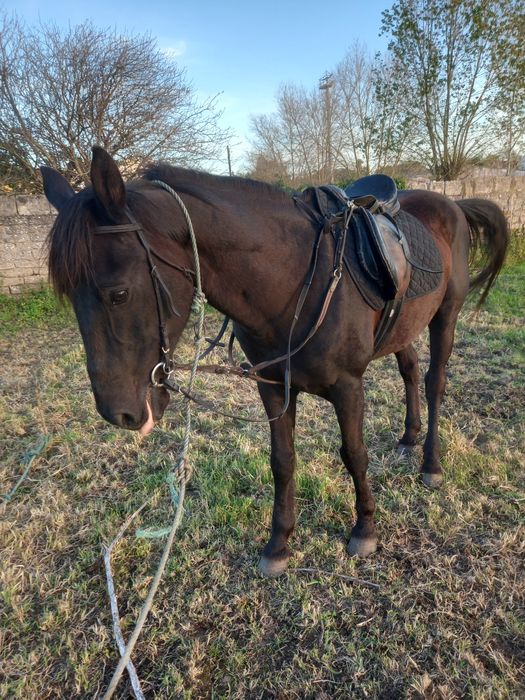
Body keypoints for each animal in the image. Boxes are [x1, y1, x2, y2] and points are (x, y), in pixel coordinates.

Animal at [41, 147, 509, 577]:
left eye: (118, 293)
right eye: (68, 296)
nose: (118, 413)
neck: (295, 278)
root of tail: (450, 204)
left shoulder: (348, 386)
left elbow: (354, 453)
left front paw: (365, 530)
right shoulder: (271, 386)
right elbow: (281, 461)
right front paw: (279, 544)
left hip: (445, 316)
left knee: (433, 382)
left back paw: (431, 463)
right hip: (403, 326)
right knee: (410, 371)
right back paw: (409, 438)